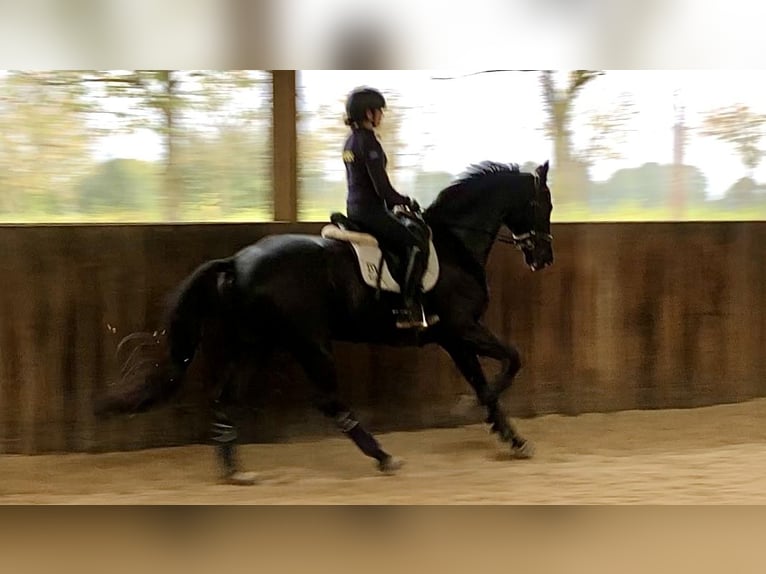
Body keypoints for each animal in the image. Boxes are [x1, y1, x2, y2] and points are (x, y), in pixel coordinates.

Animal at [96, 161, 556, 486]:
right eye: (543, 205)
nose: (543, 258)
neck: (455, 244)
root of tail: (238, 262)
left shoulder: (453, 337)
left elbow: (485, 378)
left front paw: (510, 436)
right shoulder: (461, 329)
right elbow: (512, 361)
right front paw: (482, 414)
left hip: (258, 343)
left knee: (226, 397)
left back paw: (235, 471)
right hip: (309, 342)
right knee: (328, 401)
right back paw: (383, 457)